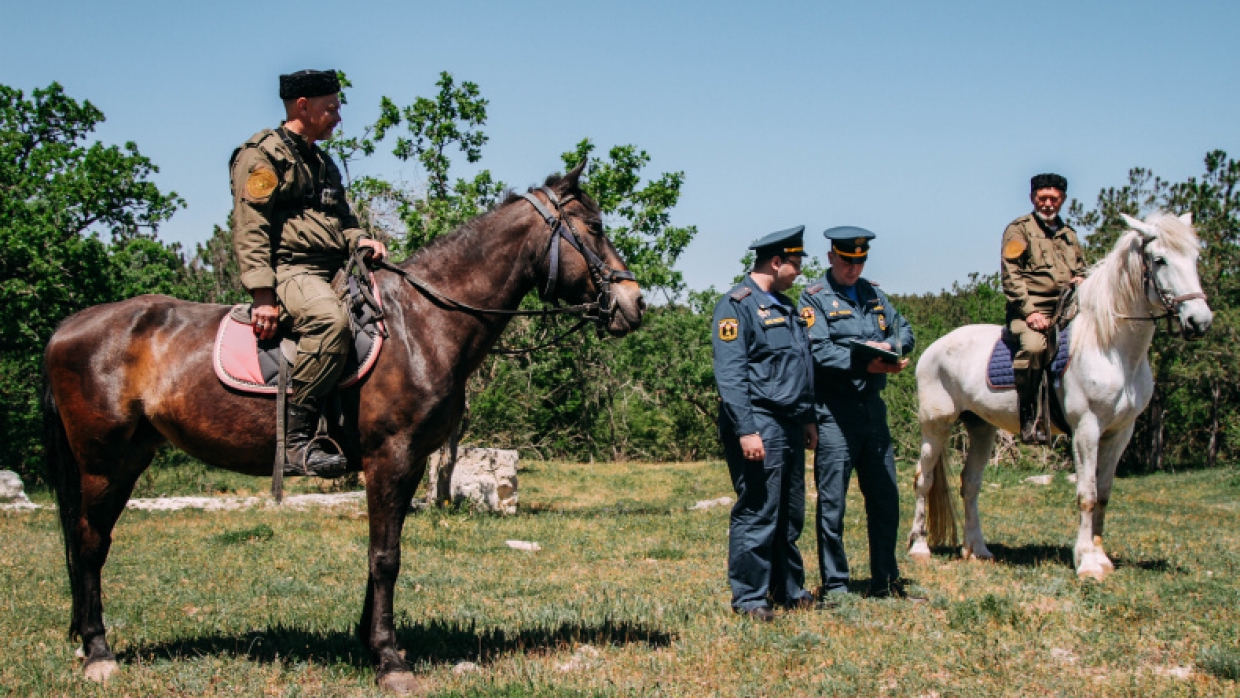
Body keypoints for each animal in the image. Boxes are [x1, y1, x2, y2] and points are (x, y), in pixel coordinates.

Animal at [43, 163, 644, 694]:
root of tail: (68, 327)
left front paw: (370, 642)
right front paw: (389, 660)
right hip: (102, 462)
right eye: (593, 228)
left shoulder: (411, 462)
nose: (634, 302)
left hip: (129, 458)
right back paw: (98, 652)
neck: (421, 323)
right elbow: (386, 557)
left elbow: (383, 551)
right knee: (90, 543)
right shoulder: (390, 456)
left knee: (91, 540)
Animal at [902, 210, 1210, 582]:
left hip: (981, 428)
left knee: (970, 484)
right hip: (936, 425)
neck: (1109, 346)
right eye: (1160, 260)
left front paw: (1101, 557)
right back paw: (920, 548)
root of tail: (934, 347)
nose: (1200, 321)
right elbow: (1087, 494)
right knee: (924, 479)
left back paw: (978, 549)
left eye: (1195, 258)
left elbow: (1103, 494)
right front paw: (1087, 563)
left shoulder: (1121, 432)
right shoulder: (1087, 429)